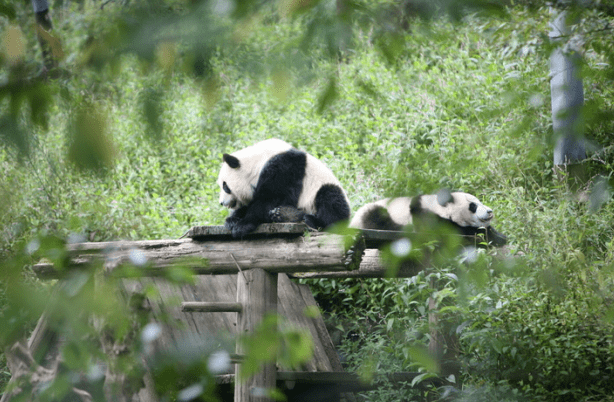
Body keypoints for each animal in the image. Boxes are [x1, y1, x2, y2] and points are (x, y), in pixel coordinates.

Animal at [217, 139, 352, 239]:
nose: (221, 203)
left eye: (225, 186)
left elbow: (271, 199)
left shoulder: (284, 169)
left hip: (322, 190)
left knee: (330, 200)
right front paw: (232, 220)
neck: (258, 162)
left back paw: (311, 220)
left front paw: (242, 226)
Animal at [352, 190, 510, 247]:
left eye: (480, 202)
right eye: (473, 205)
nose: (490, 211)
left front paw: (498, 236)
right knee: (378, 219)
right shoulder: (422, 213)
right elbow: (450, 229)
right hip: (374, 214)